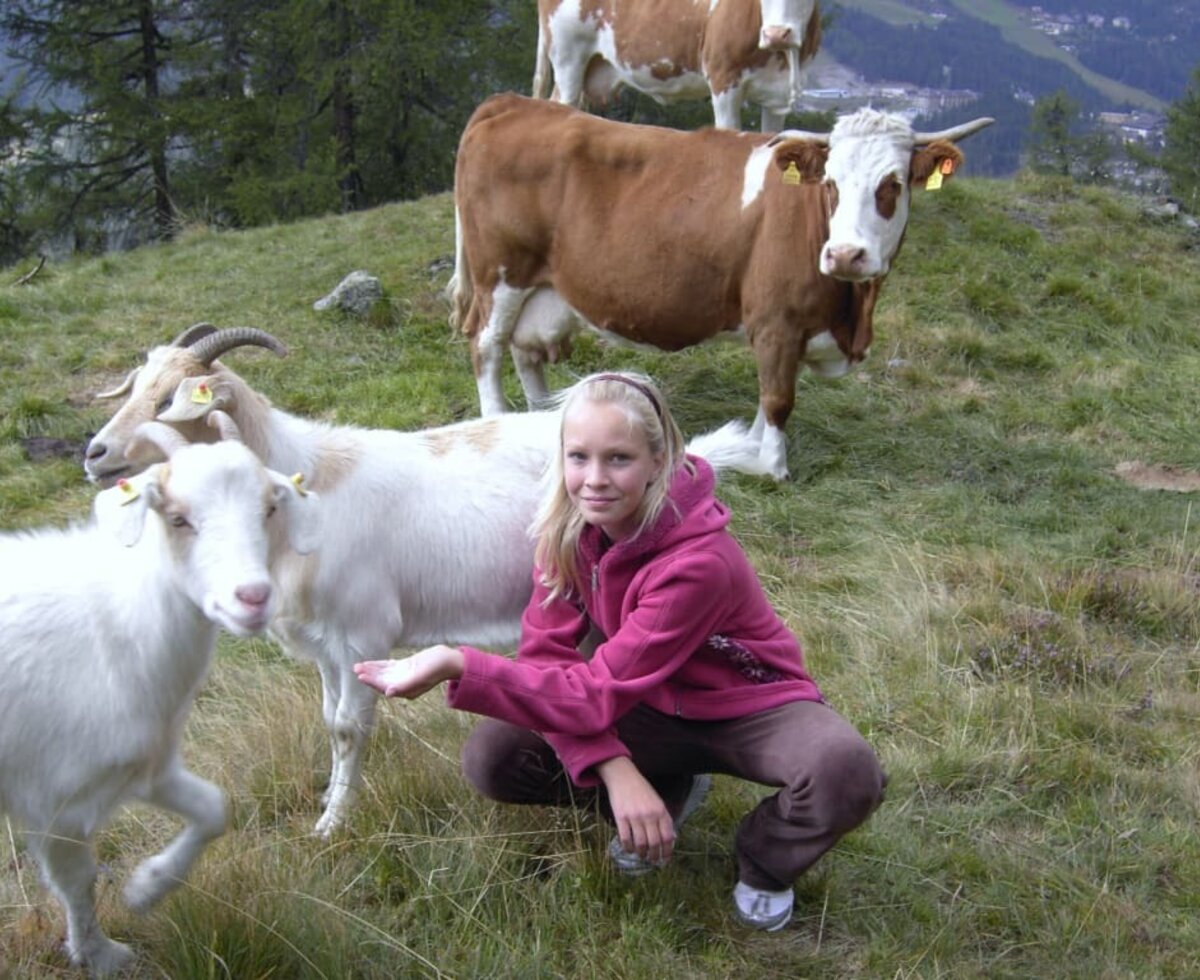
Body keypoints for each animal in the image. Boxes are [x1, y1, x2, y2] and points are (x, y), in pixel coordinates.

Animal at [1, 422, 319, 978]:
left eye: (268, 509)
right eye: (178, 518)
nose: (253, 598)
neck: (113, 625)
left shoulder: (146, 762)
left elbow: (213, 808)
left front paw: (146, 888)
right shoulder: (56, 796)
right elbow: (77, 881)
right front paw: (101, 955)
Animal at [88, 323, 772, 839]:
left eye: (170, 399)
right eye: (136, 386)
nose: (94, 453)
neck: (309, 482)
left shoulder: (363, 633)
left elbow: (347, 727)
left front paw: (333, 826)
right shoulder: (327, 644)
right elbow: (330, 719)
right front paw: (329, 804)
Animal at [451, 91, 993, 477]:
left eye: (892, 185)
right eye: (831, 183)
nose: (845, 254)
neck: (850, 314)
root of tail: (514, 102)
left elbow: (768, 397)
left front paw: (750, 444)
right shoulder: (777, 321)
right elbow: (777, 399)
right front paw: (768, 465)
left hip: (541, 288)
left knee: (525, 350)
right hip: (500, 273)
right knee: (487, 345)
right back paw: (494, 415)